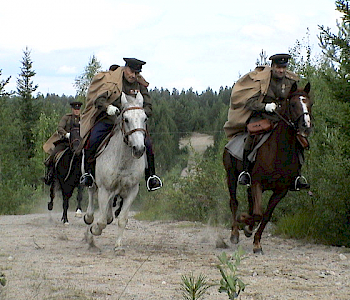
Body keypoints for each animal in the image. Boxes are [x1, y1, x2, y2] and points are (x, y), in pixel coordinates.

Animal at [85, 92, 148, 253]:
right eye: (126, 119)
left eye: (145, 118)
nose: (139, 149)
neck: (123, 161)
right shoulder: (104, 189)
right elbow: (100, 221)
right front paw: (94, 229)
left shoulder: (132, 191)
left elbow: (122, 219)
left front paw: (119, 246)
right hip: (93, 183)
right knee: (90, 194)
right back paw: (89, 218)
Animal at [223, 82, 314, 253]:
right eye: (293, 104)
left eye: (310, 104)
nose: (306, 126)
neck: (279, 152)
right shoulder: (258, 183)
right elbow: (258, 213)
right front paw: (243, 221)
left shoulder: (280, 191)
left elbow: (265, 215)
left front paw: (256, 241)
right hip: (231, 175)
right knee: (234, 202)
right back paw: (235, 233)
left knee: (249, 200)